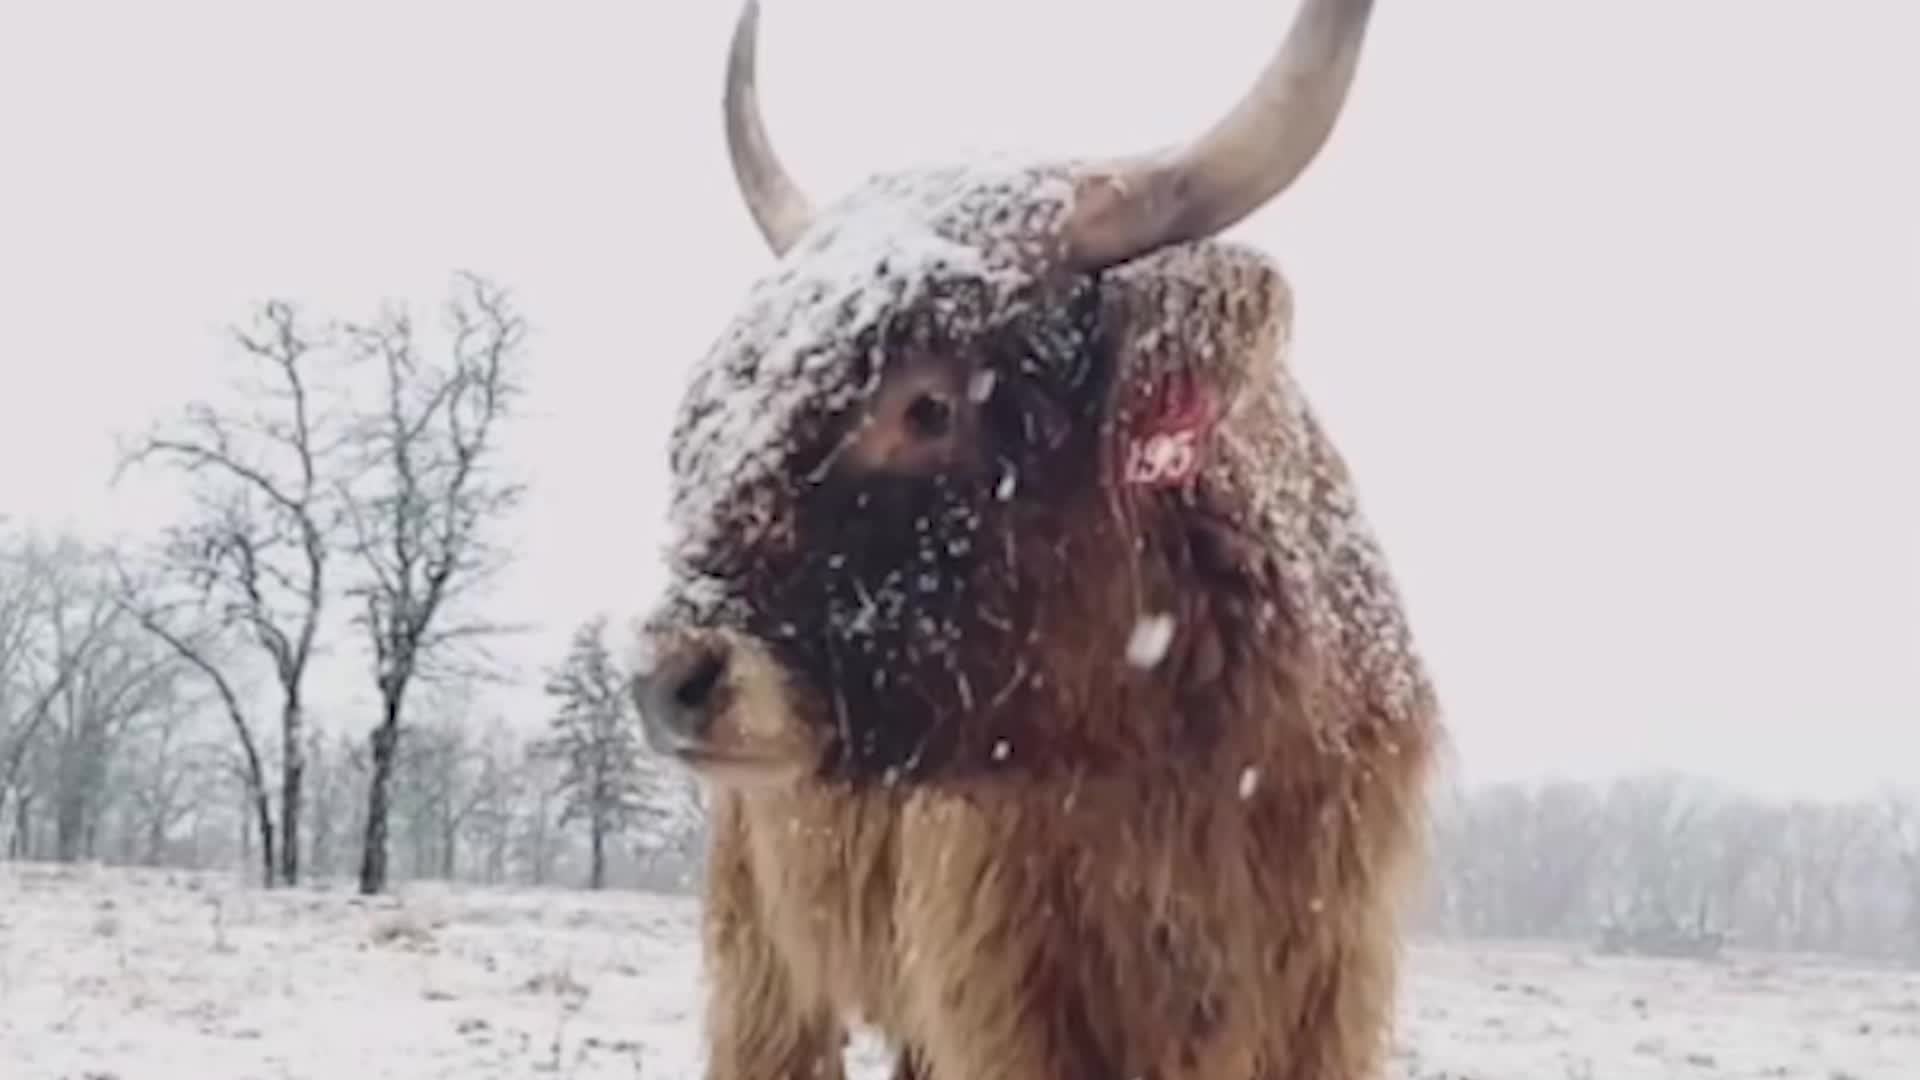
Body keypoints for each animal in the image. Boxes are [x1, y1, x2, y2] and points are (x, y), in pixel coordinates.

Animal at [630, 1, 1443, 1078]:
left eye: (928, 403)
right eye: (710, 411)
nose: (667, 675)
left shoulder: (1325, 998)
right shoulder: (1003, 996)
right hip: (762, 953)